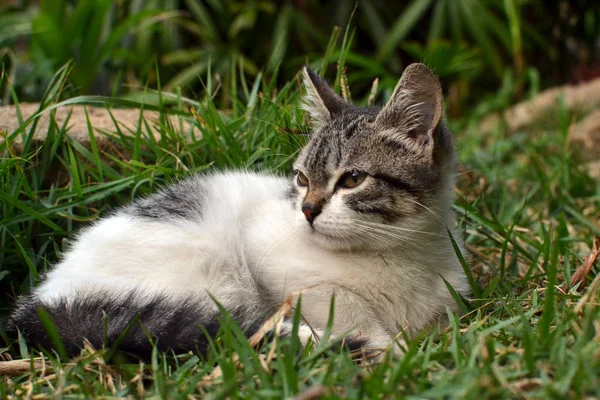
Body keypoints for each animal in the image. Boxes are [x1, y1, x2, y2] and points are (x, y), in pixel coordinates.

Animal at [7, 63, 472, 360]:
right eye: (302, 179)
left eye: (353, 179)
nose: (307, 211)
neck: (396, 253)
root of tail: (41, 301)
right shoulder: (268, 250)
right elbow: (336, 298)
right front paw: (385, 345)